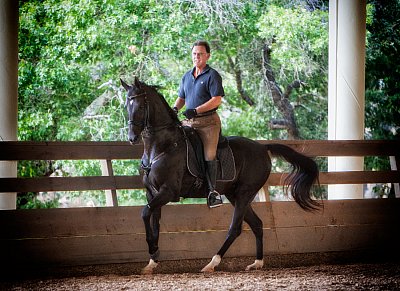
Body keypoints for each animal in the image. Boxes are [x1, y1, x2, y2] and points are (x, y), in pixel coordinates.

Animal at [120, 78, 320, 274]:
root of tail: (263, 148)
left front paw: (152, 250)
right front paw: (152, 260)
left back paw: (212, 264)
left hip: (244, 193)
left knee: (235, 229)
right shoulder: (152, 193)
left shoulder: (168, 192)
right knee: (257, 224)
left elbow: (145, 212)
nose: (132, 138)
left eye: (140, 106)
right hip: (235, 195)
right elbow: (154, 223)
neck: (162, 147)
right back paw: (257, 263)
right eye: (126, 106)